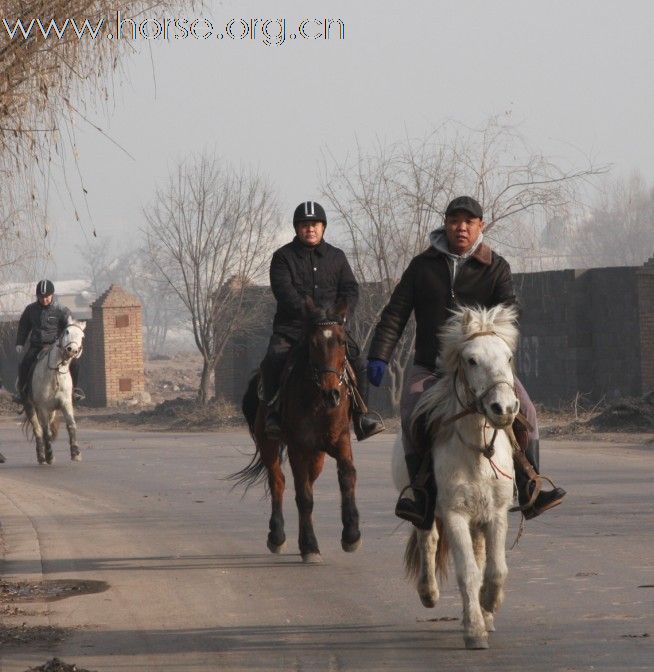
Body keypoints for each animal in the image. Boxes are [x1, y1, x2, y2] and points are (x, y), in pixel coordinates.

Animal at [24, 318, 86, 464]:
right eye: (67, 331)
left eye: (82, 336)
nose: (72, 350)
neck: (55, 373)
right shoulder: (42, 407)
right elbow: (46, 431)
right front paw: (49, 456)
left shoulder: (66, 403)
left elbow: (71, 425)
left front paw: (76, 453)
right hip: (30, 407)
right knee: (38, 430)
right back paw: (41, 456)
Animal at [233, 300, 362, 560]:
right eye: (312, 344)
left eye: (342, 342)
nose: (332, 394)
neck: (317, 401)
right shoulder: (297, 448)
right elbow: (303, 496)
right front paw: (310, 545)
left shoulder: (341, 440)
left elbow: (347, 476)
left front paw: (351, 535)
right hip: (269, 444)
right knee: (279, 482)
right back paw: (277, 537)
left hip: (317, 454)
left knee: (308, 481)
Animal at [394, 306, 524, 652]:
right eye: (471, 360)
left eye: (508, 357)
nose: (504, 408)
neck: (477, 451)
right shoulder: (454, 514)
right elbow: (467, 572)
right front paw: (474, 632)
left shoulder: (496, 513)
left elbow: (495, 569)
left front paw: (489, 605)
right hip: (426, 510)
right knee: (428, 540)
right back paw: (429, 594)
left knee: (479, 555)